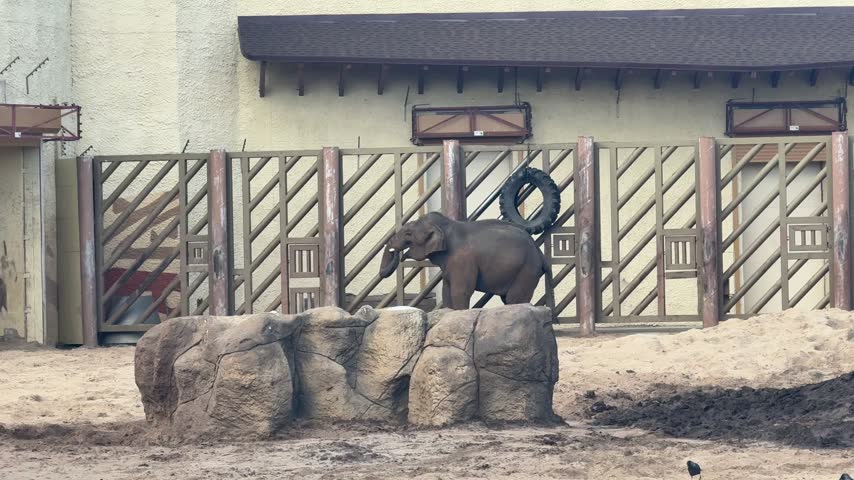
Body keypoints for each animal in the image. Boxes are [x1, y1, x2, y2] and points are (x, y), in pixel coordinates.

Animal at [379, 211, 554, 312]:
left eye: (408, 234)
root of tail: (540, 254)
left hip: (527, 270)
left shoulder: (462, 260)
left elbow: (460, 291)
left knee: (514, 299)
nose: (396, 252)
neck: (446, 226)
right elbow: (446, 291)